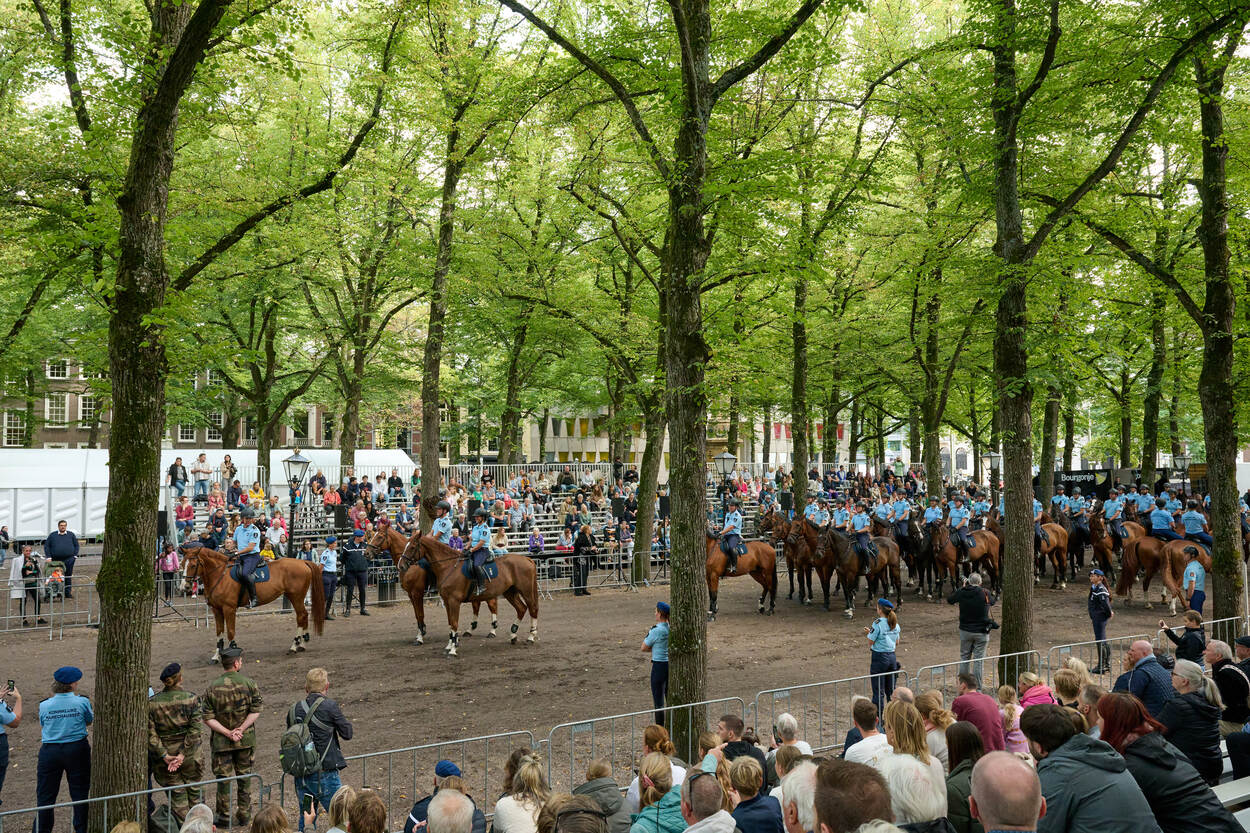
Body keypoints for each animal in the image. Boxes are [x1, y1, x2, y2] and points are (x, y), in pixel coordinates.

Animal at [182, 545, 327, 660]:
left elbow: (230, 631)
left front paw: (232, 651)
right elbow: (219, 633)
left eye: (193, 565)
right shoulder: (217, 610)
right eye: (182, 563)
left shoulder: (229, 609)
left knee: (301, 616)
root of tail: (303, 562)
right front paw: (217, 656)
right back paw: (302, 644)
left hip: (296, 597)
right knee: (304, 616)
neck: (220, 575)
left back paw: (294, 646)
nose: (185, 587)